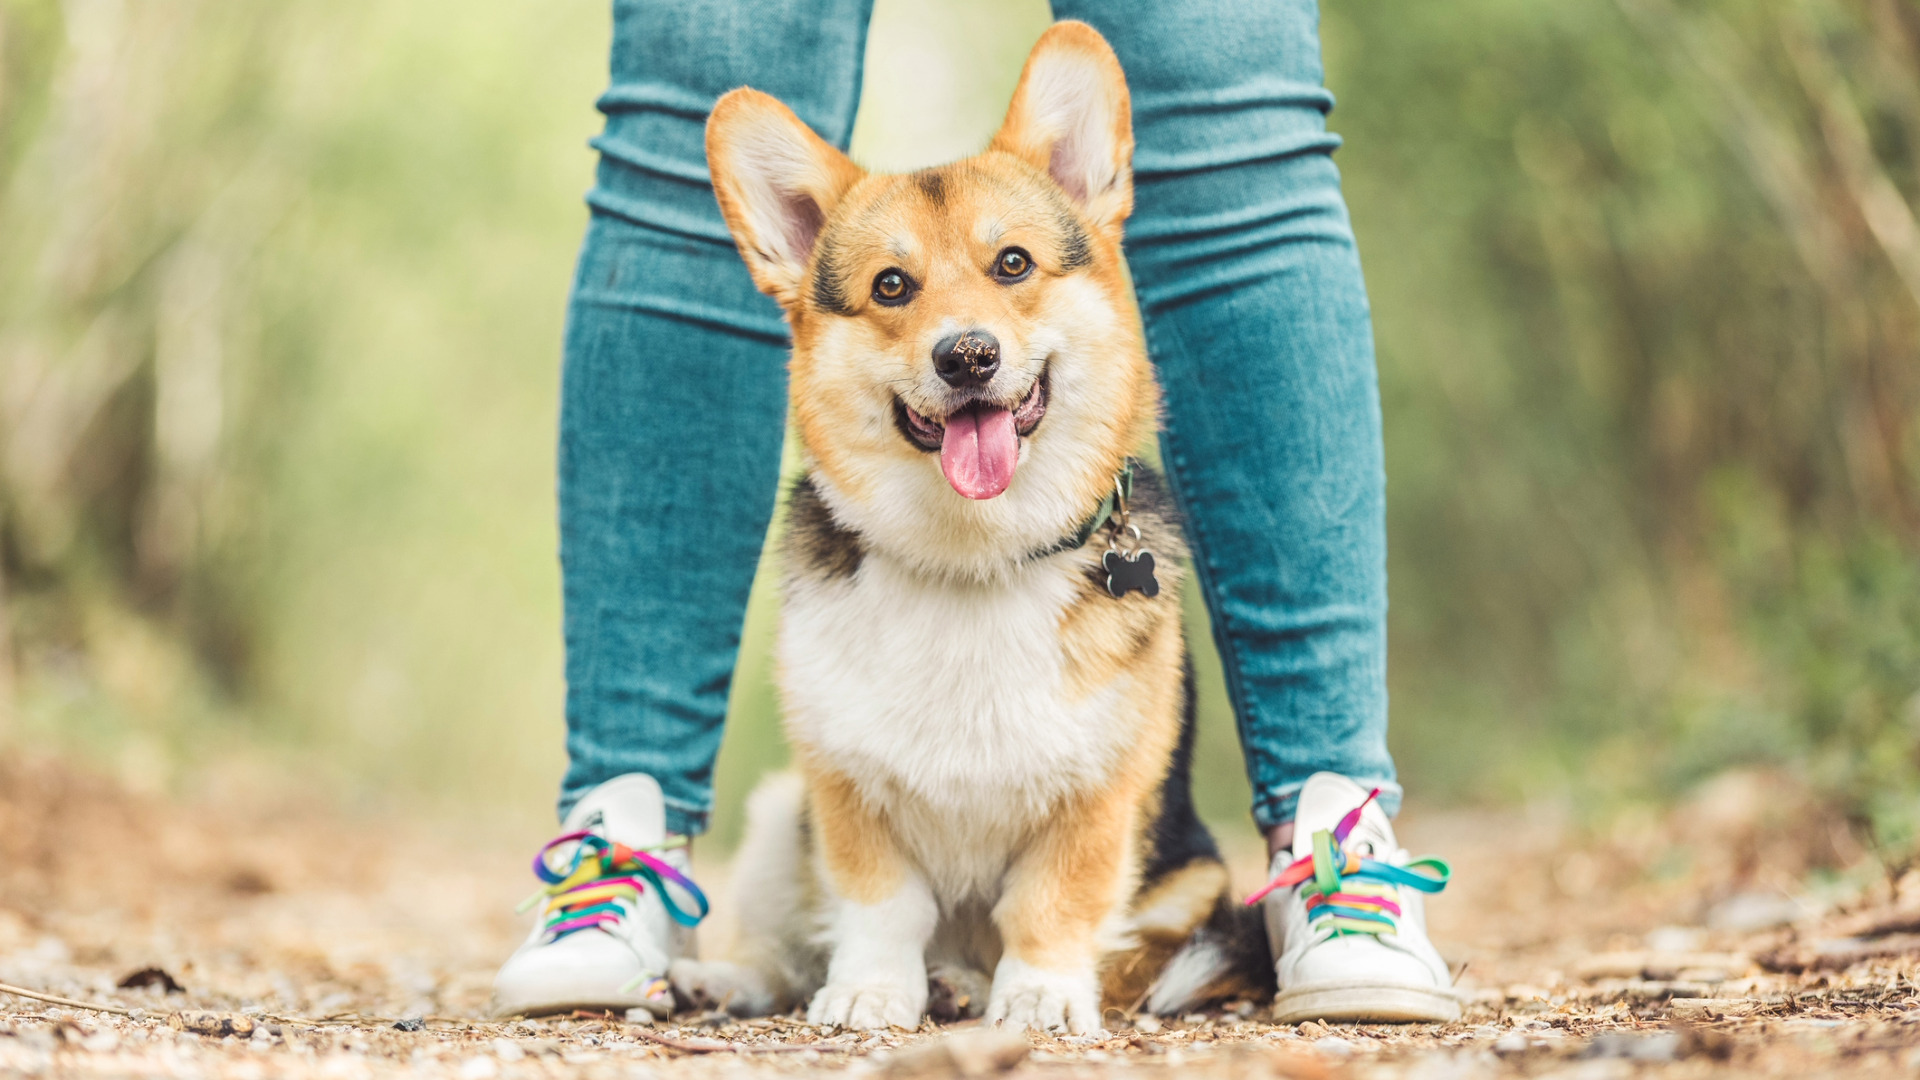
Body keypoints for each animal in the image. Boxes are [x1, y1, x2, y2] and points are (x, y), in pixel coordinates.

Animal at [679, 18, 1274, 1022]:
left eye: (1013, 264)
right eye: (890, 287)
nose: (966, 356)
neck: (974, 558)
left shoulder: (1097, 797)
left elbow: (1050, 904)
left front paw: (1038, 999)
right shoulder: (844, 788)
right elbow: (879, 906)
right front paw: (869, 994)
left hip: (1191, 880)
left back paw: (965, 986)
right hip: (775, 819)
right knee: (785, 948)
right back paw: (729, 979)